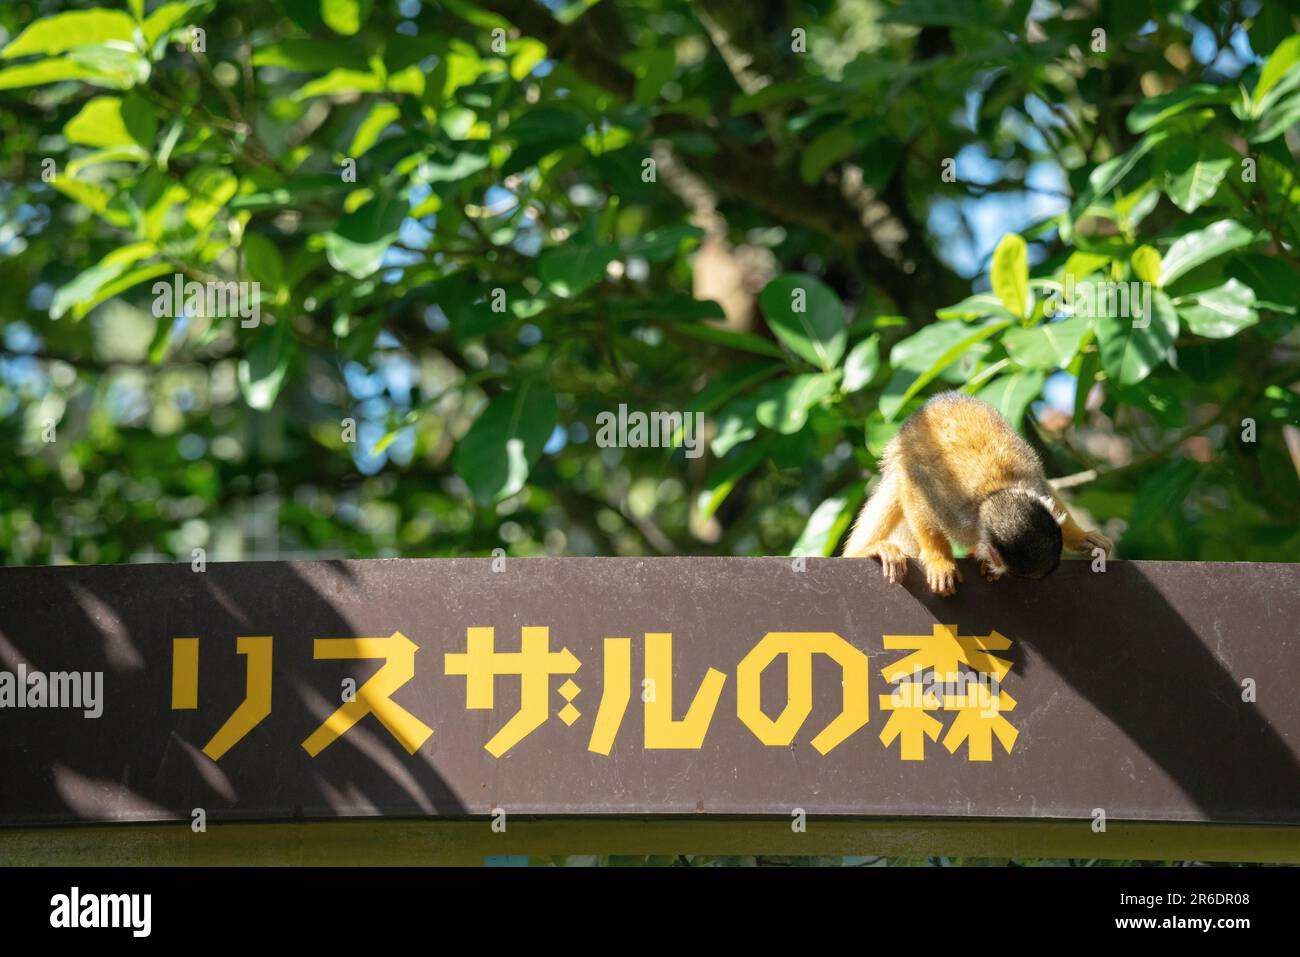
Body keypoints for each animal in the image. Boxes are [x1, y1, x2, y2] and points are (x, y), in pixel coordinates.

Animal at [842, 392, 1118, 595]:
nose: (995, 570)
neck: (995, 494)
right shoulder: (953, 511)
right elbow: (917, 491)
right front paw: (940, 560)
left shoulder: (1033, 483)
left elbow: (1048, 494)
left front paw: (1080, 537)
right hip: (898, 450)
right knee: (899, 479)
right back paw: (865, 551)